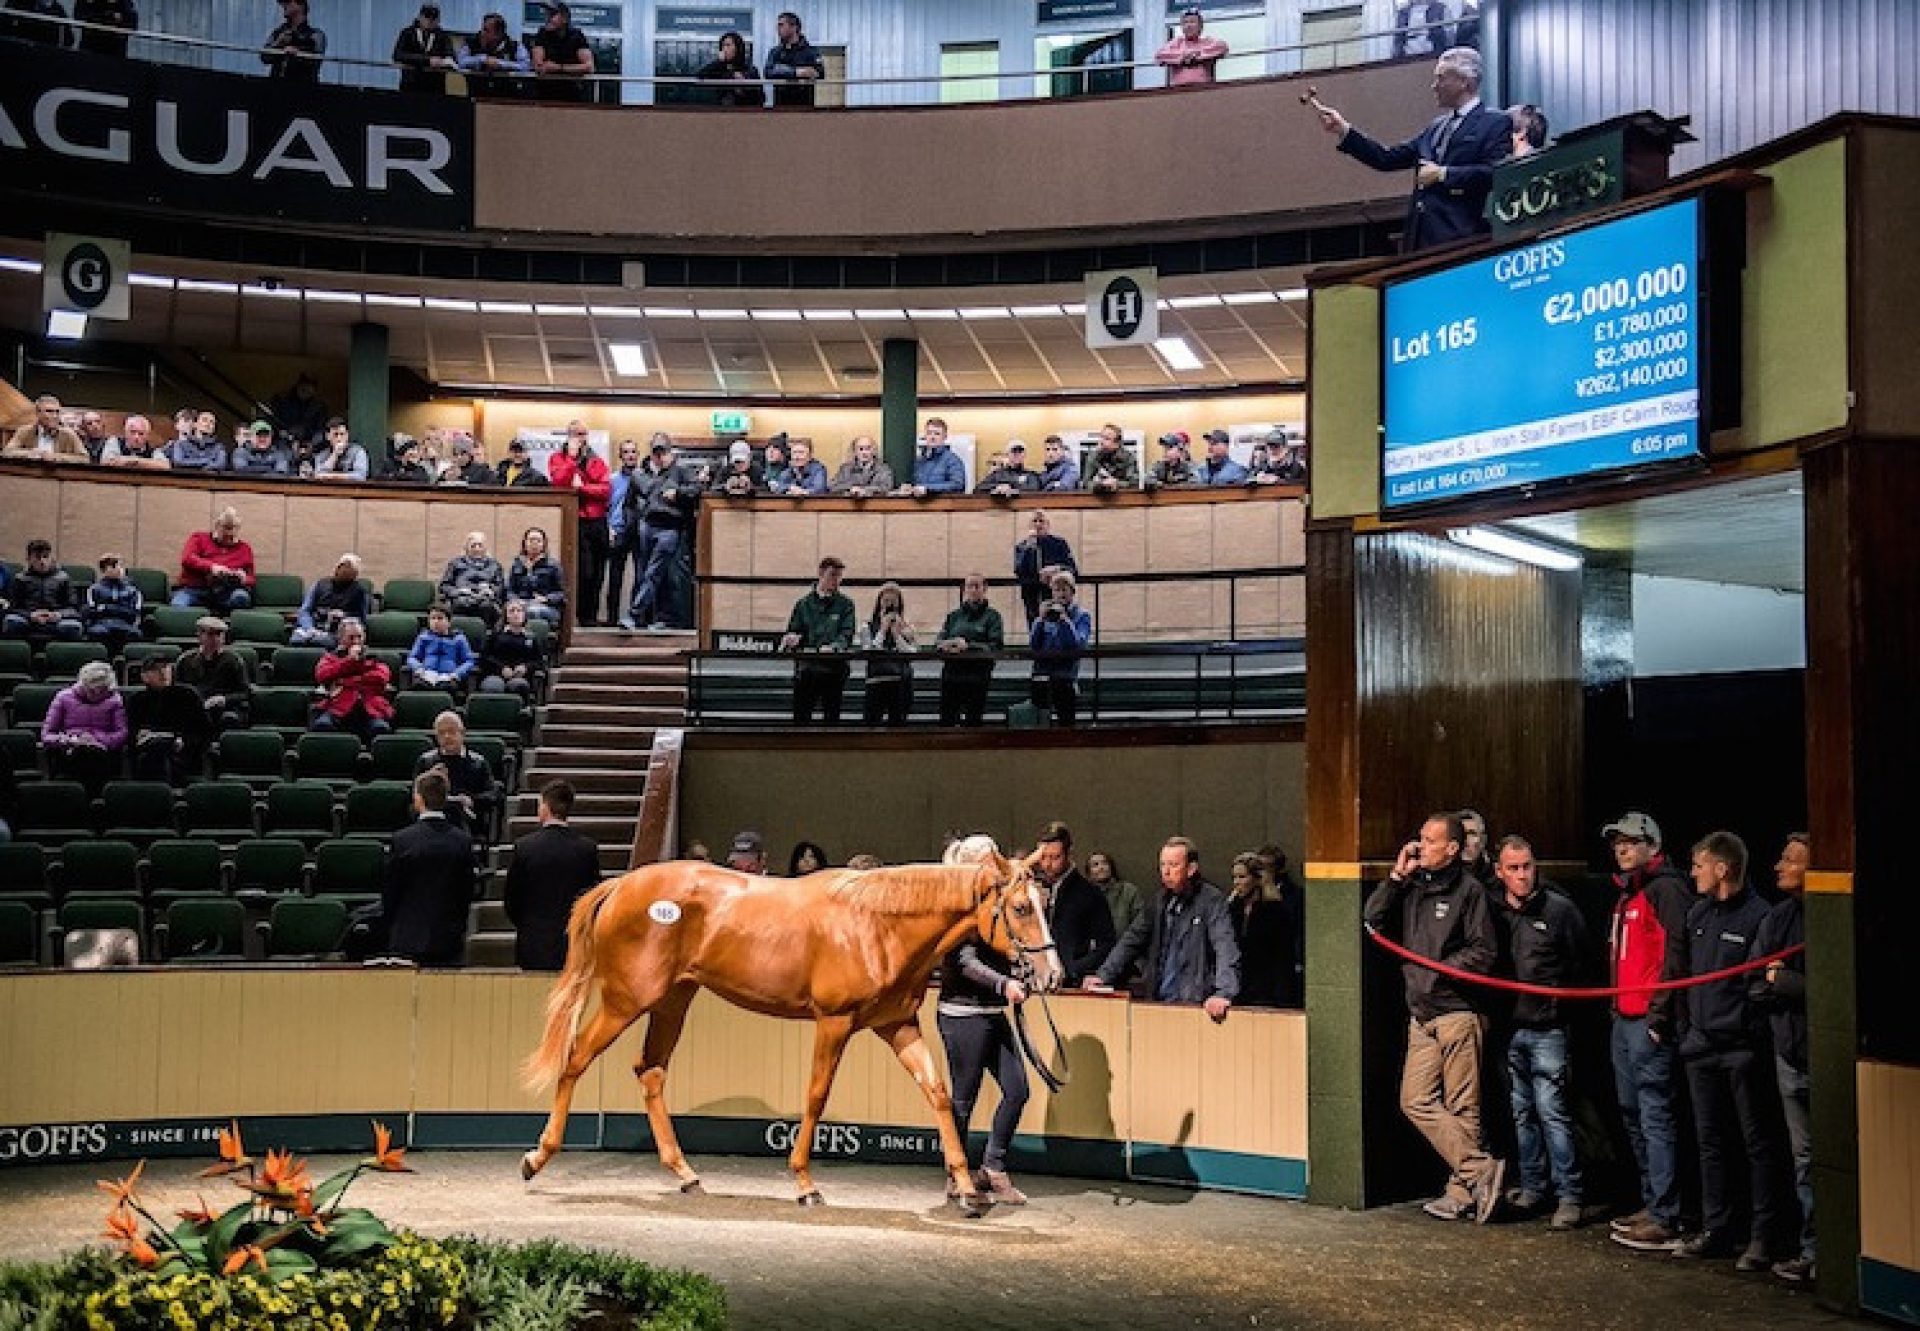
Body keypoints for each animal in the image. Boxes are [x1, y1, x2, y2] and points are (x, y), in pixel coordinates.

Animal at [522, 841, 1067, 1206]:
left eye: (1047, 905)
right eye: (1021, 907)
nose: (1053, 975)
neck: (877, 924)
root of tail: (623, 884)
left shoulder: (897, 1026)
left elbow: (937, 1092)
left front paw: (966, 1187)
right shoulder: (834, 1022)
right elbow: (816, 1095)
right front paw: (805, 1182)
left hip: (673, 1002)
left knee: (650, 1071)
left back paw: (685, 1174)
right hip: (625, 1001)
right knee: (576, 1059)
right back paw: (538, 1157)